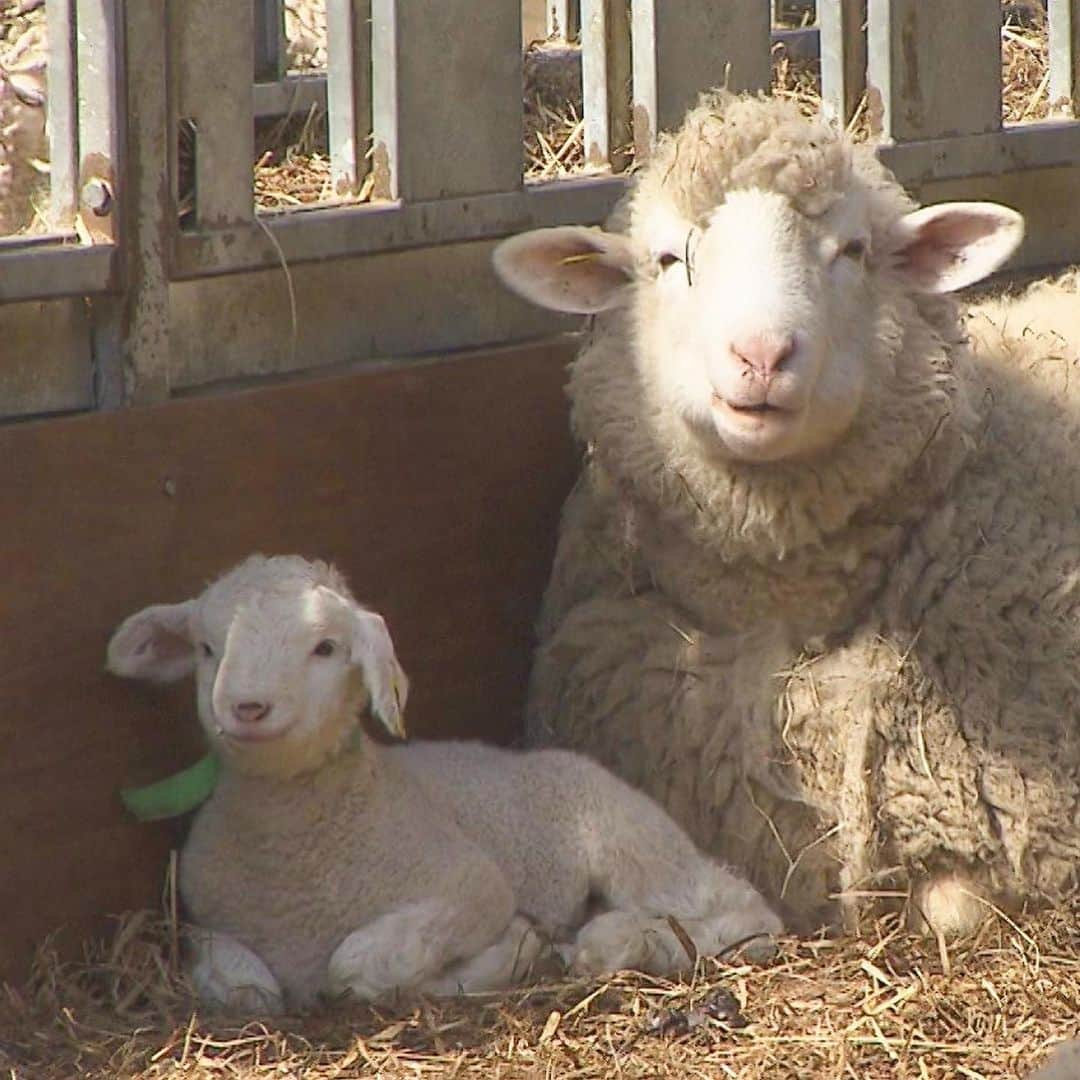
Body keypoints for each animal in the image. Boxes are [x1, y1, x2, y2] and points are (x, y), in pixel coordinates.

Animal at [107, 552, 786, 1015]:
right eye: (205, 648)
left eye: (325, 648)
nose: (247, 707)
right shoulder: (200, 916)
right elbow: (240, 983)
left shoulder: (470, 885)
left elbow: (359, 966)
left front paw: (515, 951)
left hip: (631, 841)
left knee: (741, 911)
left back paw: (619, 941)